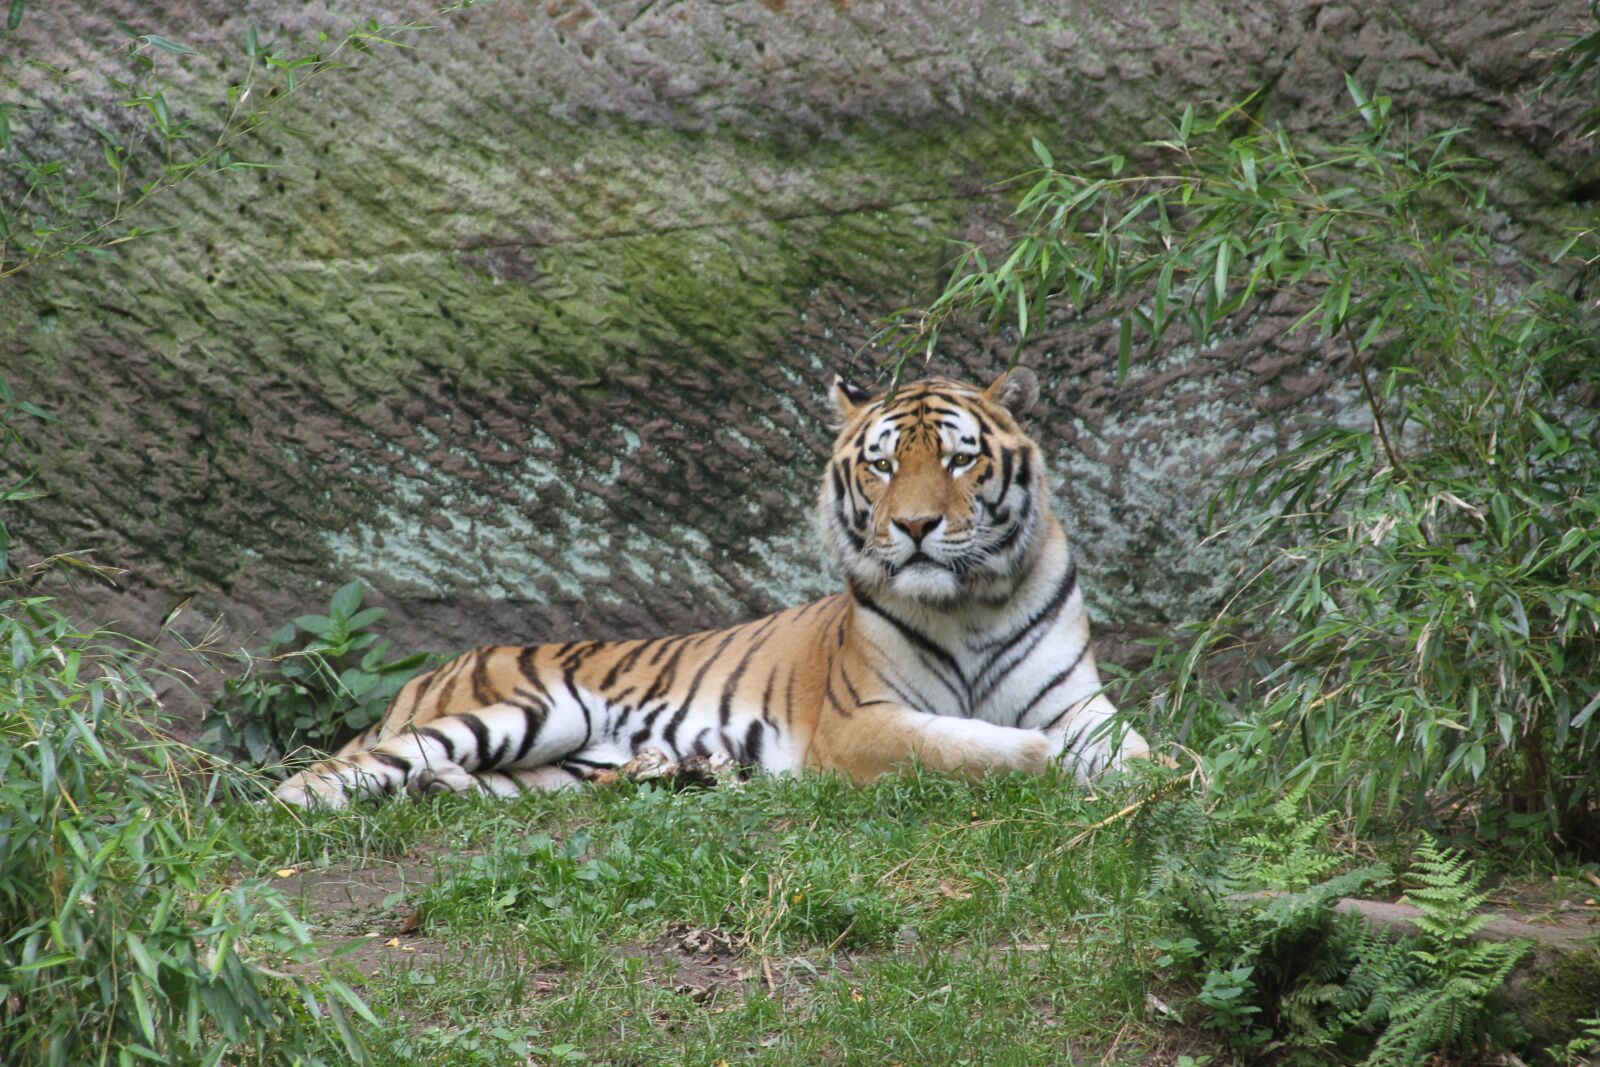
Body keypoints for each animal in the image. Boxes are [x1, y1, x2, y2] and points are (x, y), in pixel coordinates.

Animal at [274, 368, 1151, 808]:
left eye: (961, 459)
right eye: (882, 463)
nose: (914, 525)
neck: (968, 601)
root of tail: (426, 674)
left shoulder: (1076, 699)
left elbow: (1133, 747)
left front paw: (1157, 772)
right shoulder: (861, 722)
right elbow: (968, 743)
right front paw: (1052, 763)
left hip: (559, 763)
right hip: (525, 710)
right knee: (317, 779)